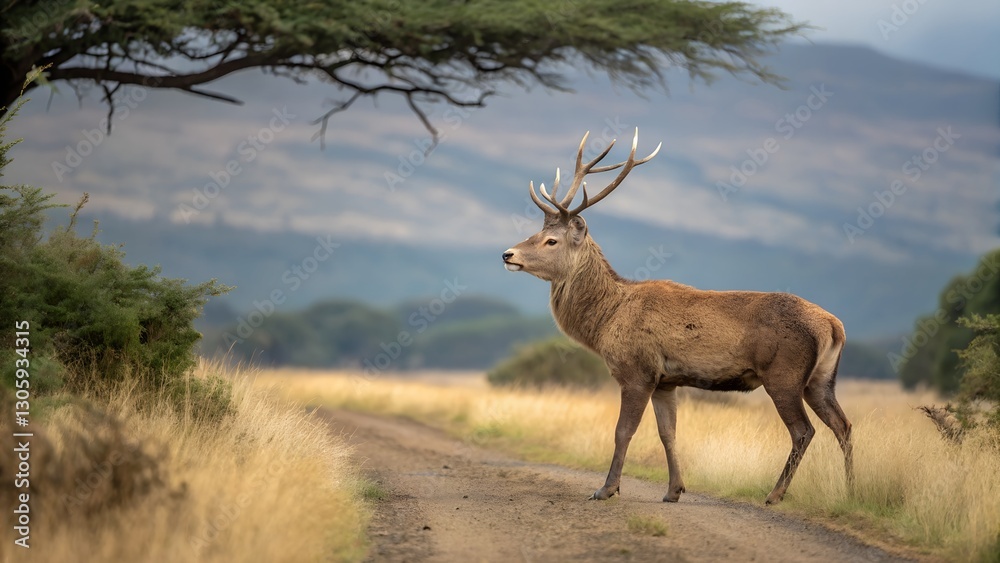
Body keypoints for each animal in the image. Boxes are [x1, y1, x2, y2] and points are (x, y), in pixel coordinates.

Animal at [501, 129, 853, 505]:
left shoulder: (637, 371)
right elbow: (668, 433)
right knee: (843, 425)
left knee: (804, 430)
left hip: (784, 374)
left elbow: (623, 431)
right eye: (535, 233)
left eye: (551, 240)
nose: (508, 254)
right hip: (821, 379)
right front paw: (674, 490)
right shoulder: (666, 381)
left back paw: (775, 494)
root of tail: (835, 326)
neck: (606, 322)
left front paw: (607, 488)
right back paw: (852, 490)